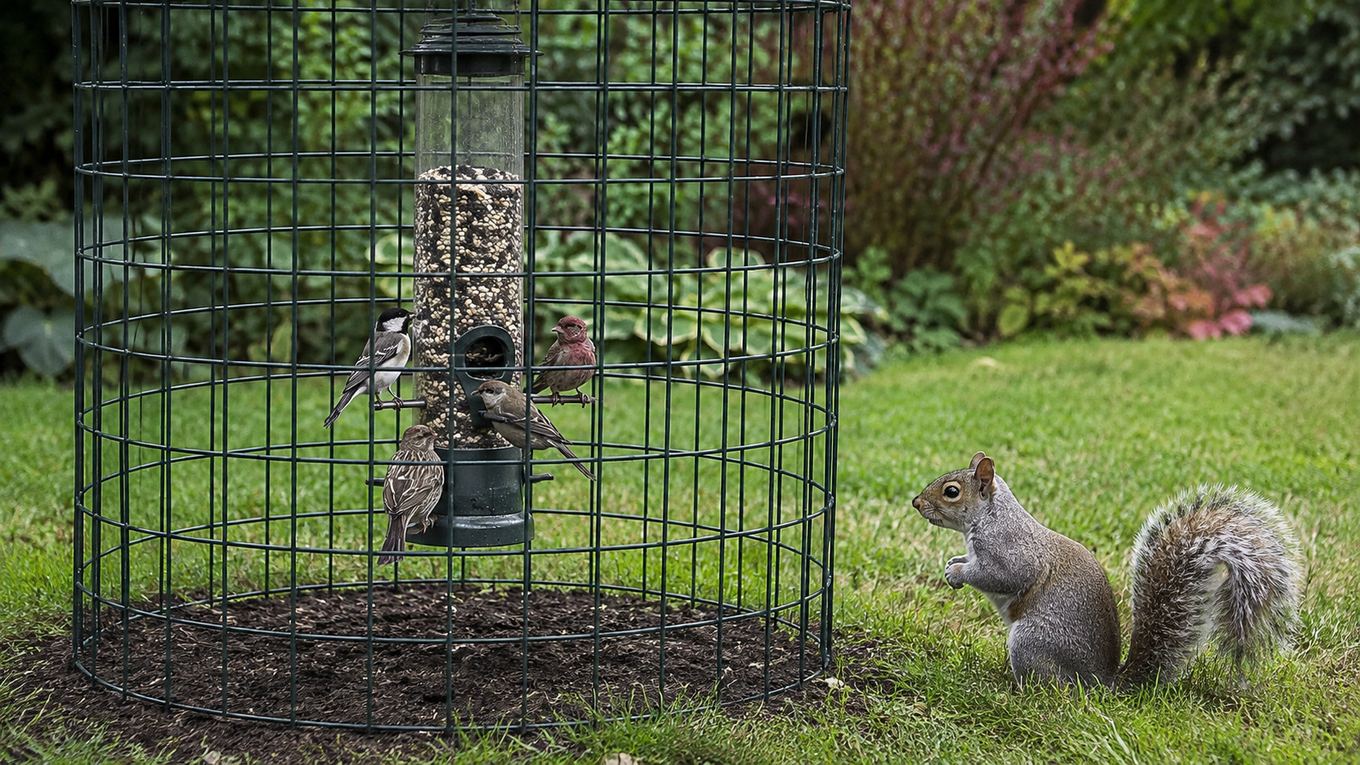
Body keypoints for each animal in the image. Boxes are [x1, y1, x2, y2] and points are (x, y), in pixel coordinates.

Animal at [911, 452, 1303, 688]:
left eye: (951, 491)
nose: (915, 502)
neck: (990, 517)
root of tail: (1102, 683)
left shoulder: (1010, 553)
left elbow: (1000, 576)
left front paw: (958, 574)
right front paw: (953, 563)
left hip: (1031, 643)